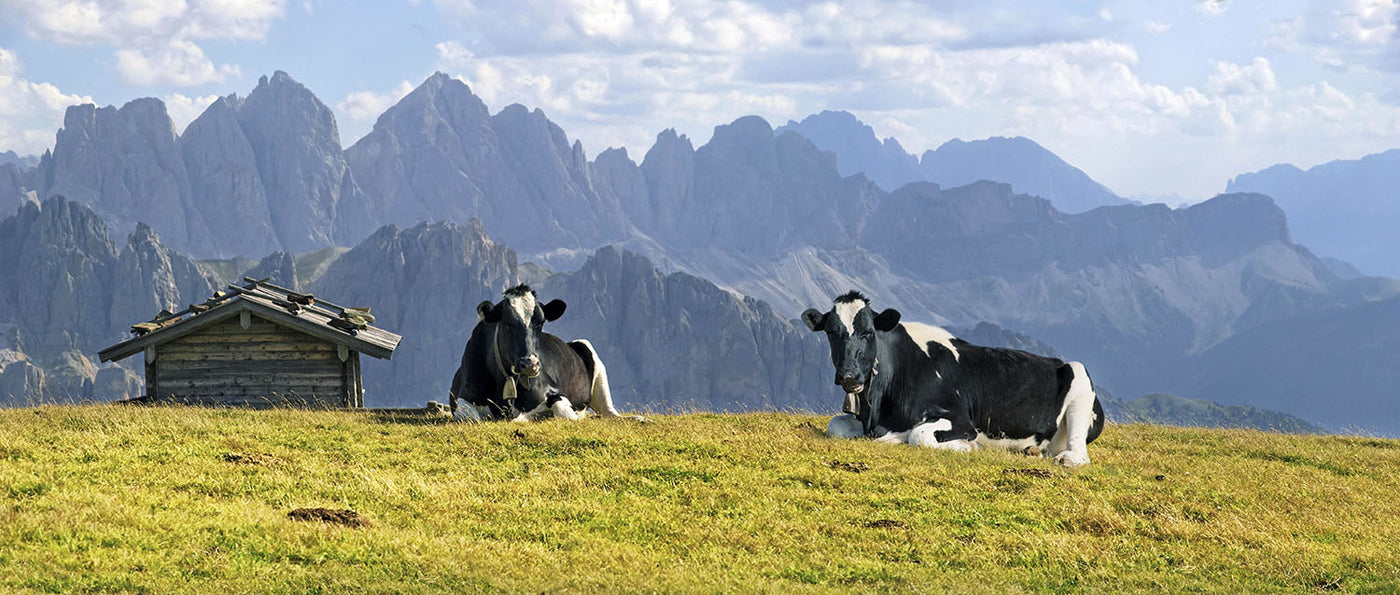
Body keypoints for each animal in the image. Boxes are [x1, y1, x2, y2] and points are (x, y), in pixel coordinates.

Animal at [450, 284, 641, 420]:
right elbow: (467, 414)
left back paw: (638, 418)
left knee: (609, 412)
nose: (530, 364)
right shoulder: (460, 398)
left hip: (591, 355)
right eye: (507, 323)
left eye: (540, 323)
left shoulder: (554, 393)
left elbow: (566, 412)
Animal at [806, 289, 1108, 464]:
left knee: (1078, 453)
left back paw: (1065, 458)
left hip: (1080, 382)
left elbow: (919, 435)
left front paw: (967, 448)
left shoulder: (961, 420)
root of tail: (1058, 362)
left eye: (868, 332)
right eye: (831, 332)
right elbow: (835, 426)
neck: (879, 413)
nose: (849, 376)